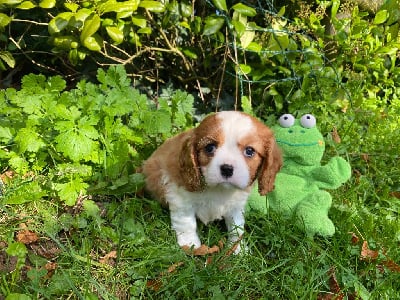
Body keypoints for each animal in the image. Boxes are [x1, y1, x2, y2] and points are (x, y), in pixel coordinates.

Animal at [141, 111, 282, 252]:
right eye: (209, 147)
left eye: (249, 151)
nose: (227, 169)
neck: (218, 189)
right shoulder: (179, 196)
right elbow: (186, 222)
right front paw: (190, 244)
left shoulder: (236, 205)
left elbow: (236, 226)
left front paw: (237, 249)